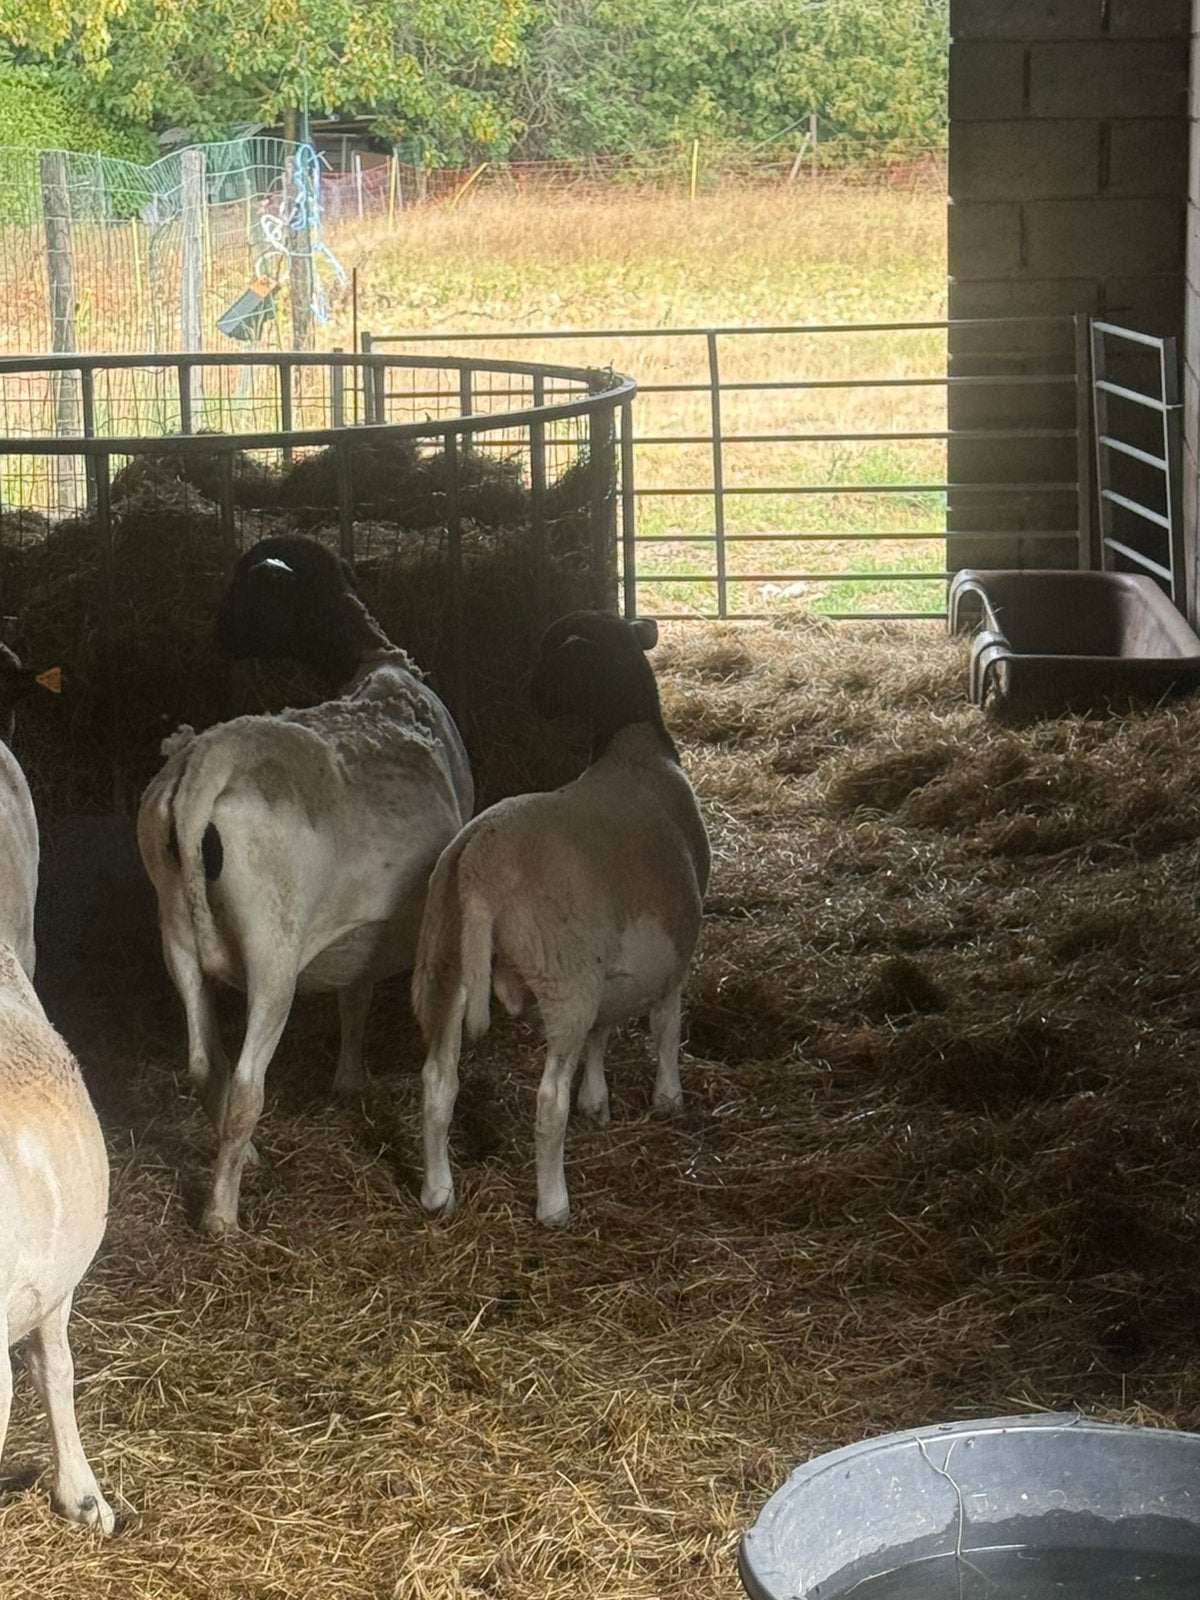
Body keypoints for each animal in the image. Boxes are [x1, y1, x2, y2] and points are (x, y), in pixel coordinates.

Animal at [137, 536, 474, 1236]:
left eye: (247, 592)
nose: (218, 632)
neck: (375, 661)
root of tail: (203, 768)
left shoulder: (362, 932)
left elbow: (356, 996)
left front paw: (350, 1080)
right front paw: (438, 1188)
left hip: (174, 931)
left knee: (205, 1062)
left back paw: (242, 1157)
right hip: (273, 946)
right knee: (245, 1083)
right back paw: (222, 1213)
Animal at [414, 610, 710, 1225]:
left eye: (555, 655)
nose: (530, 694)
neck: (634, 747)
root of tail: (479, 869)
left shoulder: (609, 966)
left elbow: (604, 1031)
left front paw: (597, 1103)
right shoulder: (677, 945)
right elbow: (667, 1024)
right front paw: (668, 1098)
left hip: (445, 964)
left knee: (437, 1081)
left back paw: (437, 1194)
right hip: (562, 973)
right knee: (548, 1101)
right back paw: (553, 1204)